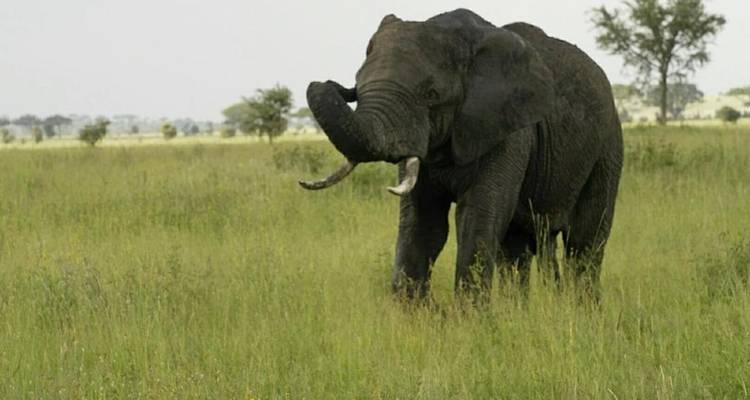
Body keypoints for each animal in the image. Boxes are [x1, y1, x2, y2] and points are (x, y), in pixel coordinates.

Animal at [300, 9, 623, 303]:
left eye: (431, 94)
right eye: (358, 81)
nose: (329, 84)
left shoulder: (508, 128)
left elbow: (477, 216)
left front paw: (472, 321)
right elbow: (422, 221)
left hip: (607, 145)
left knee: (585, 241)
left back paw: (582, 312)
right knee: (516, 249)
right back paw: (518, 313)